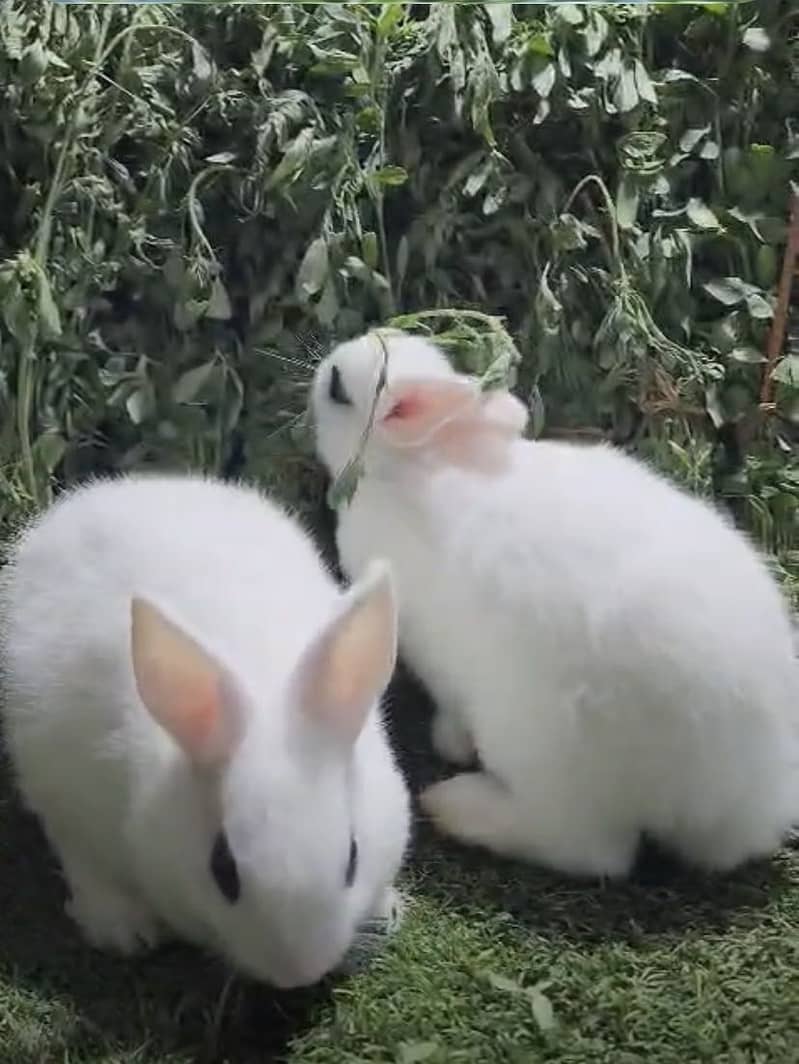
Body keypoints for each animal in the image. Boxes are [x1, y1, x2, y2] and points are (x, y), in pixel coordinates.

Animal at [0, 473, 410, 988]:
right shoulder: (77, 806)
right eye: (222, 870)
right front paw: (123, 931)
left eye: (353, 856)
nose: (297, 973)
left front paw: (384, 909)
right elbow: (83, 860)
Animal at [311, 329, 799, 879]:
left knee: (594, 848)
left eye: (337, 388)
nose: (325, 364)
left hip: (540, 746)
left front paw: (450, 743)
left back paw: (456, 805)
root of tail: (739, 794)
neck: (415, 465)